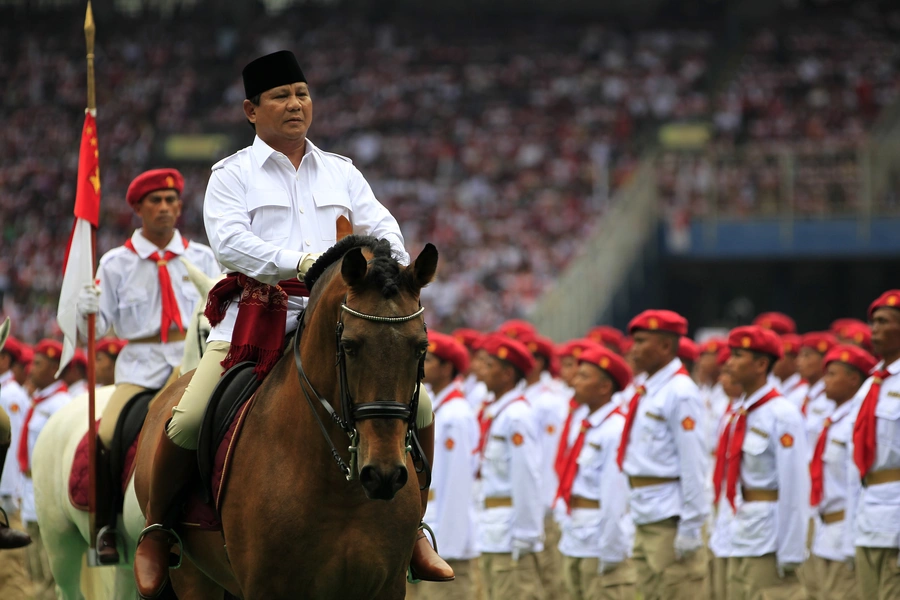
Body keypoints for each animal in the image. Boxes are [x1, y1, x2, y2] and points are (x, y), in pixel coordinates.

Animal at [134, 236, 440, 600]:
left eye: (421, 347)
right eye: (349, 345)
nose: (384, 475)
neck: (342, 492)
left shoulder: (387, 588)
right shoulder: (267, 587)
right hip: (193, 577)